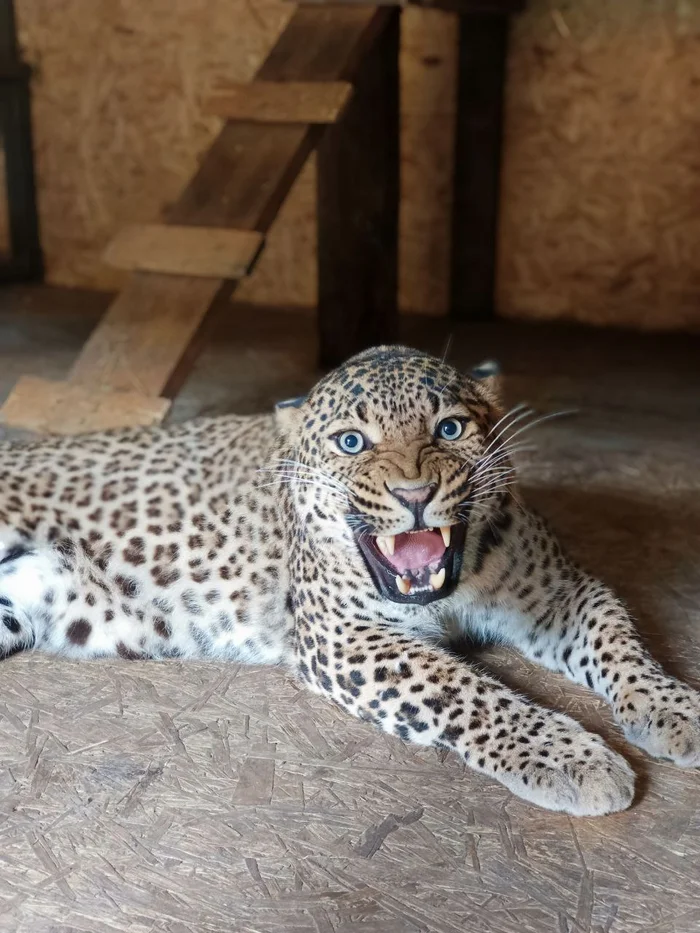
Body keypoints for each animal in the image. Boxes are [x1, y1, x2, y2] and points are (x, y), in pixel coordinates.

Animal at [1, 344, 700, 816]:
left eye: (449, 428)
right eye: (351, 442)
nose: (415, 494)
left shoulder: (560, 590)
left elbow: (619, 640)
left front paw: (675, 708)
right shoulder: (345, 635)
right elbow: (469, 691)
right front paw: (570, 758)